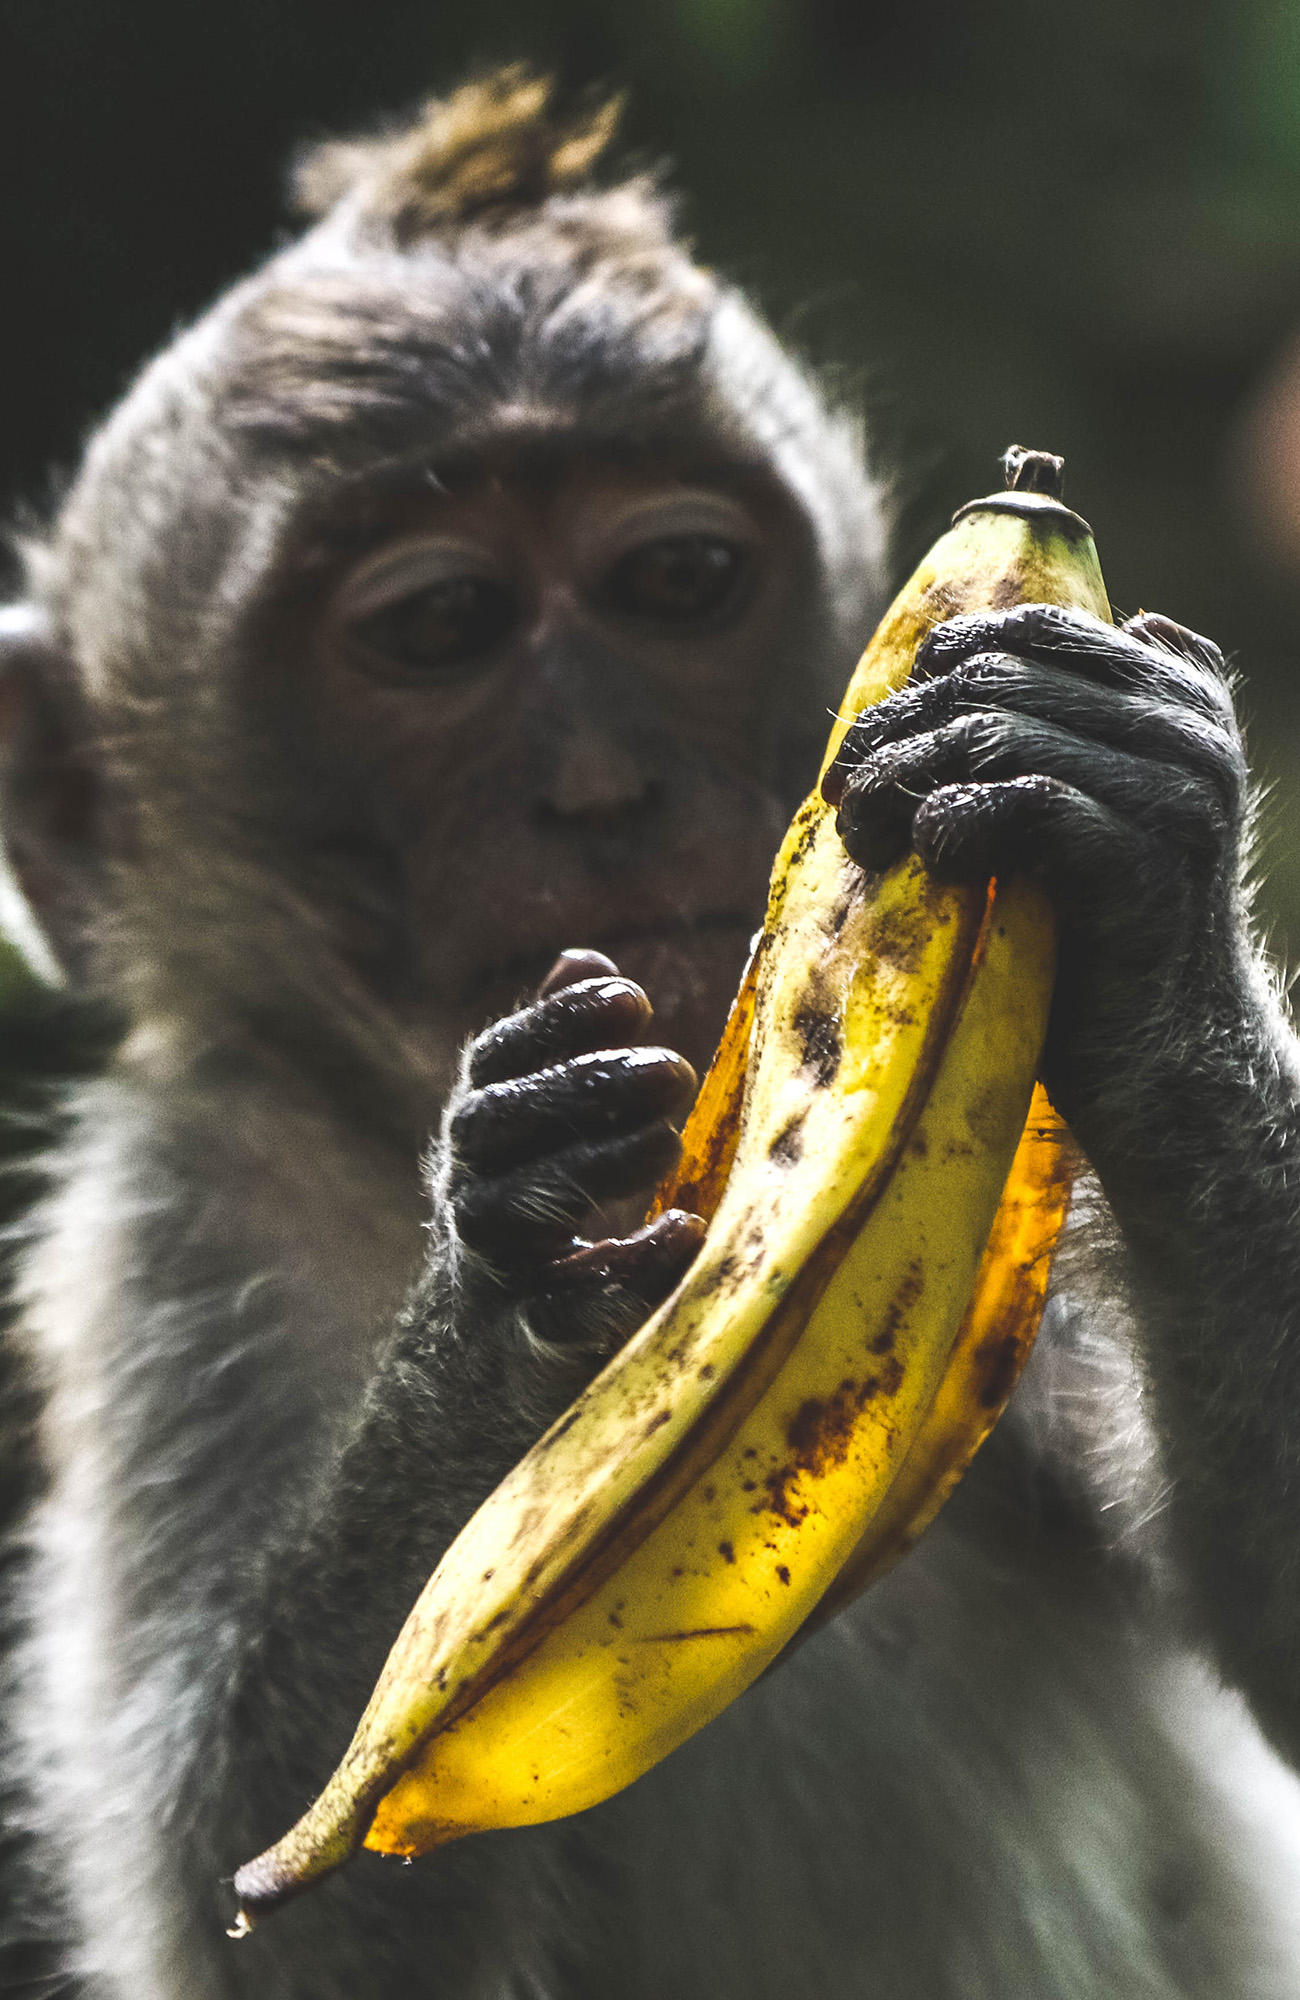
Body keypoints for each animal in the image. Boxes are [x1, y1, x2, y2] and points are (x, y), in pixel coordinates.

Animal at [3, 60, 1300, 1999]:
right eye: (443, 626)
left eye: (677, 583)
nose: (604, 782)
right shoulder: (167, 1235)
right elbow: (241, 1920)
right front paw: (512, 1259)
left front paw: (1153, 884)